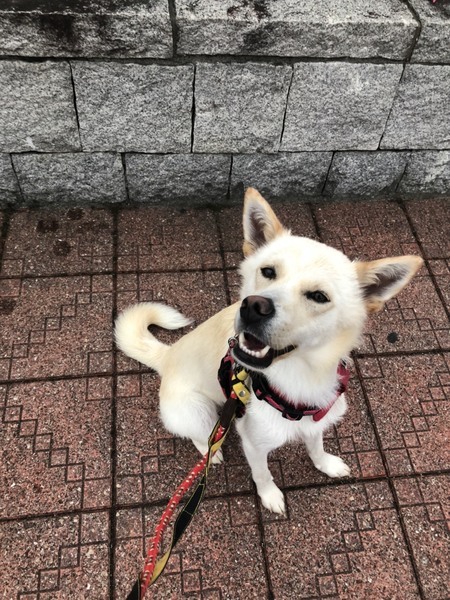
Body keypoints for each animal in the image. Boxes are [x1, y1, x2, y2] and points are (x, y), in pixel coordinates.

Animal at [115, 188, 423, 514]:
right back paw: (212, 452)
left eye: (319, 296)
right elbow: (262, 474)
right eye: (268, 271)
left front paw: (326, 465)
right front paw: (270, 496)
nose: (253, 306)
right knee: (200, 436)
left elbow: (317, 447)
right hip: (198, 411)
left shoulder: (317, 422)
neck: (300, 378)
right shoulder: (253, 443)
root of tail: (168, 355)